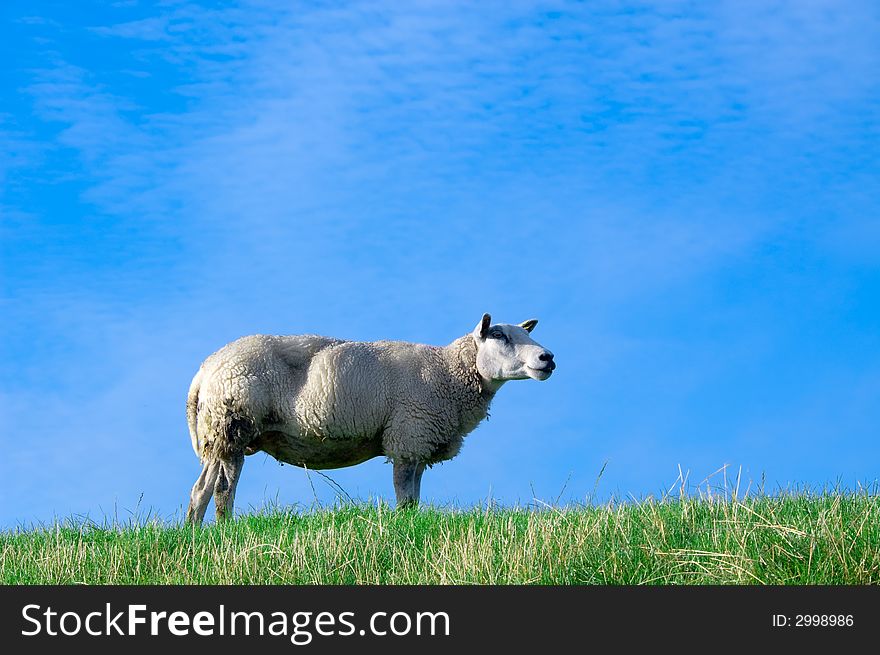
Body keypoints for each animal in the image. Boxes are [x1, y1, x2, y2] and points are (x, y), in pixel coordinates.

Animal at [184, 312, 556, 524]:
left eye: (525, 334)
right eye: (500, 335)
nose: (547, 357)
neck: (449, 373)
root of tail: (205, 370)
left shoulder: (418, 443)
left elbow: (414, 497)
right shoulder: (409, 436)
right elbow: (405, 496)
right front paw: (404, 528)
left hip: (224, 434)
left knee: (211, 489)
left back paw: (207, 534)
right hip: (231, 422)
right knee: (213, 489)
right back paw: (213, 535)